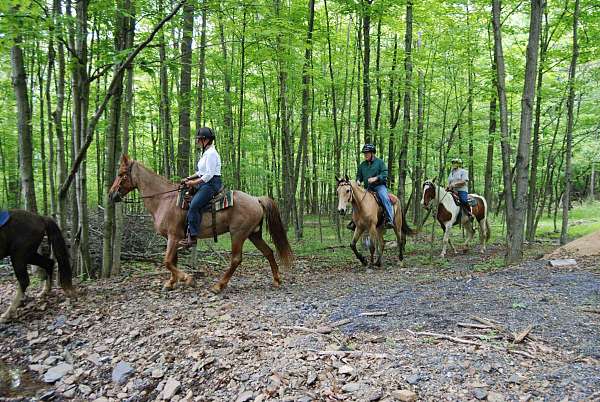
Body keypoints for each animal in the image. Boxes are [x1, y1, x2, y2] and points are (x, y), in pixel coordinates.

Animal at [110, 155, 296, 294]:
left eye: (121, 174)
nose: (111, 195)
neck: (164, 199)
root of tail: (256, 199)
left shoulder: (173, 236)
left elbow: (168, 261)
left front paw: (188, 279)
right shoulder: (173, 238)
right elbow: (173, 261)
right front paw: (171, 283)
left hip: (238, 234)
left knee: (236, 259)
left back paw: (218, 286)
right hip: (253, 234)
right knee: (268, 252)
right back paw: (277, 280)